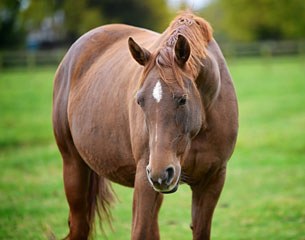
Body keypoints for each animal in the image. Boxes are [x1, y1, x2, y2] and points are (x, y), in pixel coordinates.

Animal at [51, 11, 238, 240]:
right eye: (139, 101)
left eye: (182, 99)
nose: (161, 172)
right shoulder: (144, 178)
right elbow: (139, 231)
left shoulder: (212, 180)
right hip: (74, 166)